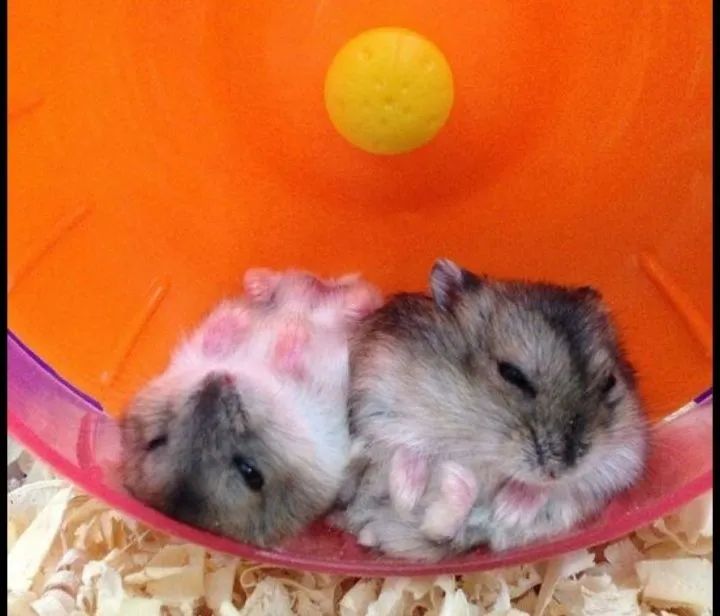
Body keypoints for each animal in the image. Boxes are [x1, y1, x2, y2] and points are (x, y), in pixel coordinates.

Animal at [120, 268, 382, 547]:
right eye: (250, 474)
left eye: (157, 441)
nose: (219, 378)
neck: (255, 373)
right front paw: (273, 331)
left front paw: (280, 332)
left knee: (346, 293)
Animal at [337, 258, 649, 561]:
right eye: (512, 374)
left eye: (609, 382)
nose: (558, 470)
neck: (483, 447)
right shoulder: (377, 390)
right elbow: (401, 440)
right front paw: (410, 484)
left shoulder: (622, 459)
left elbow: (576, 482)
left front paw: (511, 507)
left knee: (441, 527)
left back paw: (464, 487)